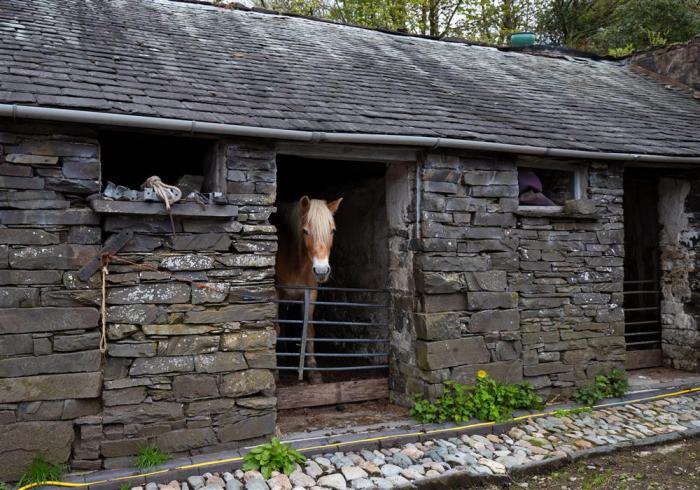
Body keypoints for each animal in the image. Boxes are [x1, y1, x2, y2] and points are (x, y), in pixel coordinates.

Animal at [278, 194, 344, 382]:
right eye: (305, 231)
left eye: (332, 231)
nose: (321, 271)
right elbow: (274, 327)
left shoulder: (311, 295)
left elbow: (309, 330)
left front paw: (313, 369)